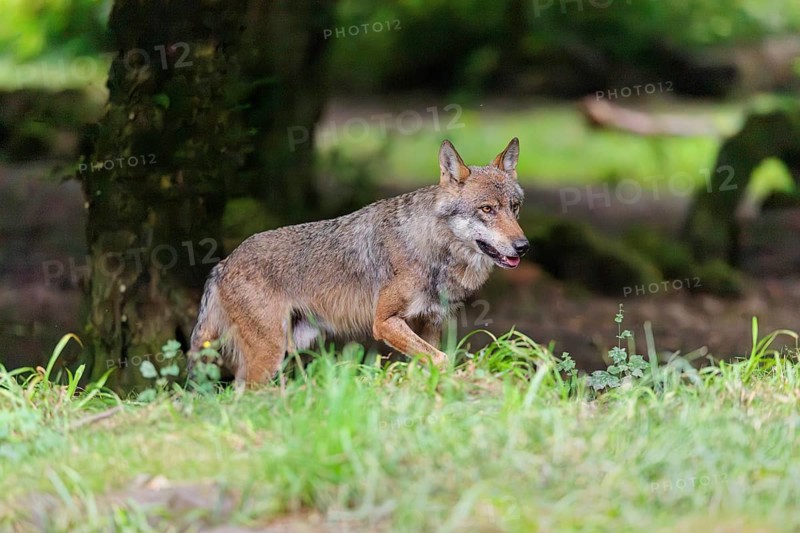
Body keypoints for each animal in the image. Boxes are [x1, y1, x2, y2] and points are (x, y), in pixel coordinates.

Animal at [189, 138, 528, 383]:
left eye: (514, 207)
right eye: (487, 209)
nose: (523, 246)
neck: (433, 248)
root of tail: (222, 264)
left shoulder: (430, 323)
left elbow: (429, 363)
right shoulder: (384, 322)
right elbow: (442, 359)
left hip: (288, 347)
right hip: (270, 354)